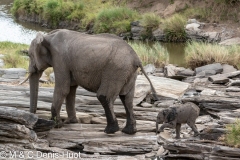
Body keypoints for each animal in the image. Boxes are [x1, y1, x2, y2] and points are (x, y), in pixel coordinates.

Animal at [23, 29, 157, 135]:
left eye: (30, 55)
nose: (34, 117)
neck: (48, 36)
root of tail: (136, 58)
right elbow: (71, 89)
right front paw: (70, 122)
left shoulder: (60, 59)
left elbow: (63, 89)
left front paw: (56, 125)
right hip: (128, 72)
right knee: (127, 98)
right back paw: (129, 131)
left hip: (115, 70)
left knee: (104, 96)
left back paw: (109, 130)